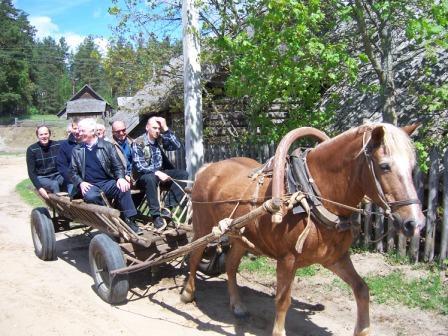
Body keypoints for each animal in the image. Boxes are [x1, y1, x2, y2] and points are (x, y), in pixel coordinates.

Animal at [181, 123, 424, 336]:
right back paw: (188, 292)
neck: (310, 194)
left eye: (413, 168)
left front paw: (363, 330)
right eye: (384, 166)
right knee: (194, 256)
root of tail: (207, 168)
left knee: (231, 266)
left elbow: (362, 289)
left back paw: (237, 304)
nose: (415, 223)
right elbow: (282, 300)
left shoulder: (335, 257)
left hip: (240, 236)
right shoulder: (287, 260)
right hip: (203, 228)